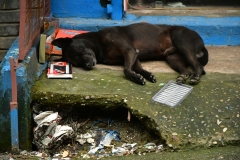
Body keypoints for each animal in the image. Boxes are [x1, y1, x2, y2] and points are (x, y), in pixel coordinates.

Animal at [51, 22, 207, 85]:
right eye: (77, 62)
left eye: (80, 51)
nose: (89, 65)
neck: (99, 43)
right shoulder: (133, 54)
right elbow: (136, 68)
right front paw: (145, 76)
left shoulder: (129, 51)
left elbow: (126, 70)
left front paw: (136, 78)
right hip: (172, 57)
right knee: (186, 69)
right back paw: (183, 76)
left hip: (182, 42)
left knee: (198, 66)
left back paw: (195, 77)